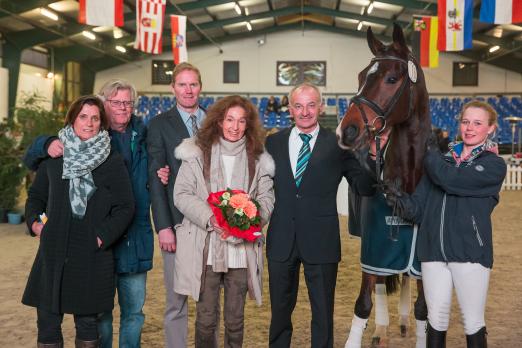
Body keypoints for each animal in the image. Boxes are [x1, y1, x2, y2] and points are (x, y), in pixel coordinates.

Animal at [336, 25, 428, 348]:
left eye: (391, 79)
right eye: (361, 76)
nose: (347, 130)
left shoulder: (422, 256)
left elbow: (423, 309)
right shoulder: (374, 248)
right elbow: (364, 303)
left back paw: (401, 322)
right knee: (378, 284)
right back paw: (381, 329)